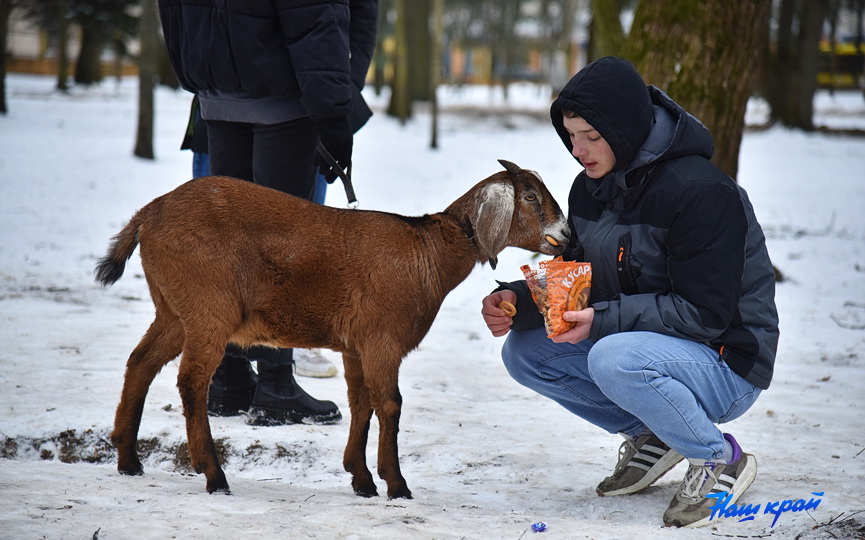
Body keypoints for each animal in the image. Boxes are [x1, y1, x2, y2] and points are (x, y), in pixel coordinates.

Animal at [96, 159, 568, 498]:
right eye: (529, 195)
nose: (565, 233)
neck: (427, 253)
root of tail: (148, 215)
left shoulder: (355, 345)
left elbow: (361, 403)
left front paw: (361, 479)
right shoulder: (382, 339)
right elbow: (389, 404)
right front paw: (396, 485)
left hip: (173, 310)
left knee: (141, 362)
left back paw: (128, 459)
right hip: (207, 308)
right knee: (191, 381)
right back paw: (213, 474)